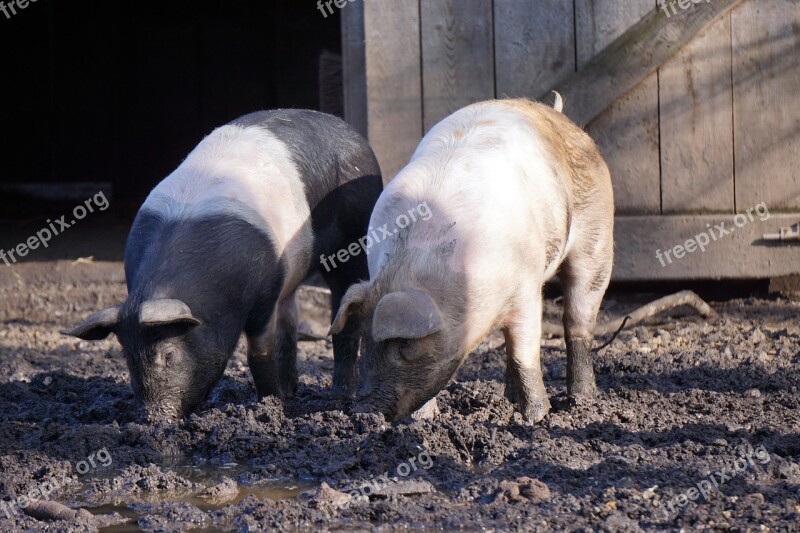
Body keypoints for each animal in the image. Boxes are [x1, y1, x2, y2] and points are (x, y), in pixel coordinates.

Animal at [64, 110, 382, 418]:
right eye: (127, 357)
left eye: (169, 354)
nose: (153, 418)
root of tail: (353, 134)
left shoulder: (265, 290)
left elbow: (259, 353)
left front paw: (271, 405)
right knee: (290, 319)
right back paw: (292, 391)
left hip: (353, 240)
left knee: (343, 311)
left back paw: (339, 395)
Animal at [328, 97, 616, 424]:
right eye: (365, 337)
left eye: (405, 344)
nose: (362, 410)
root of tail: (558, 115)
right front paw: (424, 421)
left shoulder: (525, 290)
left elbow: (524, 354)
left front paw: (536, 418)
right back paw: (510, 399)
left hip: (597, 239)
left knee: (578, 322)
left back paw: (582, 400)